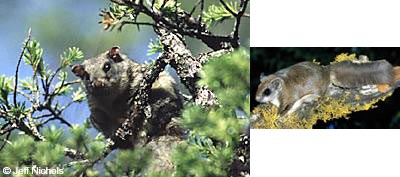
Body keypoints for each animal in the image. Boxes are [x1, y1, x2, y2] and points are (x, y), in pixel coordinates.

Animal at [256, 57, 400, 116]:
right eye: (258, 87)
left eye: (267, 91)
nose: (257, 99)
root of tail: (326, 71)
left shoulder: (290, 98)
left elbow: (287, 108)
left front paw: (279, 116)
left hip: (318, 91)